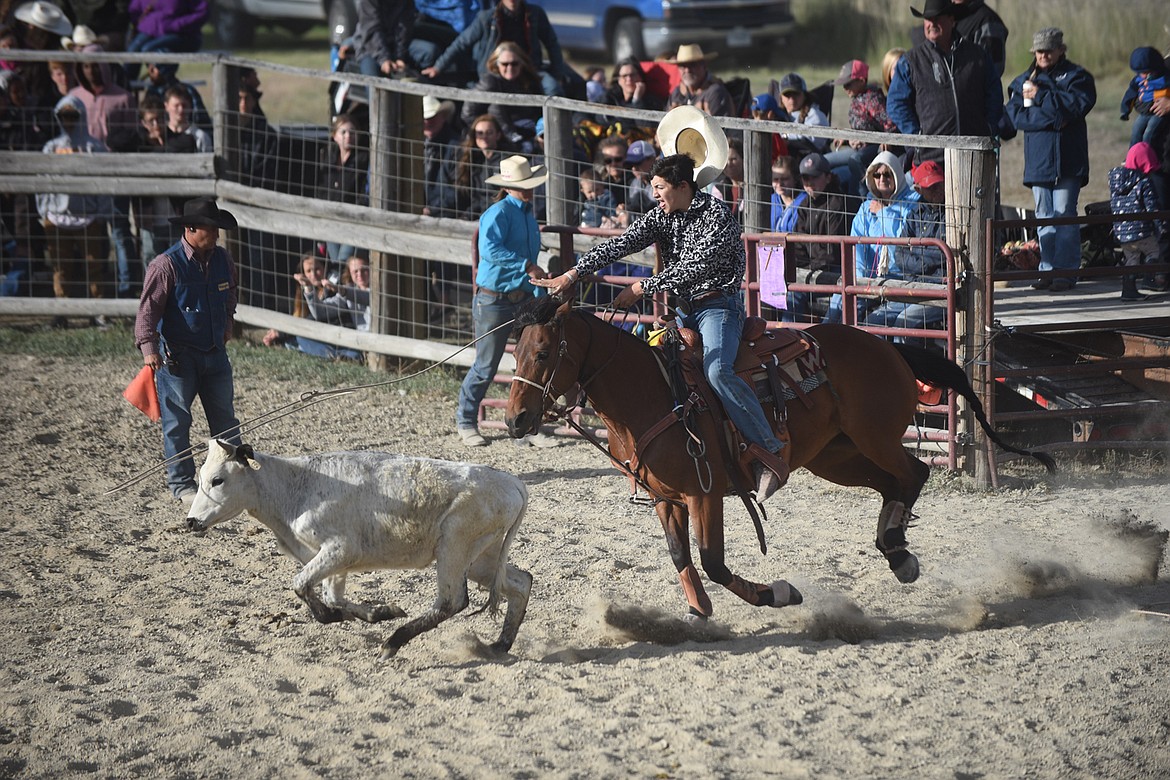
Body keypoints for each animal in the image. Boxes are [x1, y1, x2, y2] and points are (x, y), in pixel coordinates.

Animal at [184, 442, 533, 654]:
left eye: (217, 480)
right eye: (200, 478)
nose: (191, 521)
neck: (293, 486)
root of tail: (512, 482)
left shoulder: (340, 548)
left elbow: (303, 586)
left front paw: (333, 617)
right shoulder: (334, 560)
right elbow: (333, 596)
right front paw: (381, 612)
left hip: (454, 546)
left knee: (452, 601)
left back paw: (394, 642)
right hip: (481, 556)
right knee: (520, 583)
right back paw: (500, 644)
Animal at [507, 299, 1057, 622]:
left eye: (543, 352)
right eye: (517, 350)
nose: (514, 420)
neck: (651, 394)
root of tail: (887, 347)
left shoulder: (705, 493)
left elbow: (714, 562)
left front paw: (780, 593)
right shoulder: (666, 498)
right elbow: (682, 557)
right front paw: (698, 610)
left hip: (874, 437)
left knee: (914, 471)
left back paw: (898, 551)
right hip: (835, 456)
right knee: (891, 483)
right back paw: (896, 550)